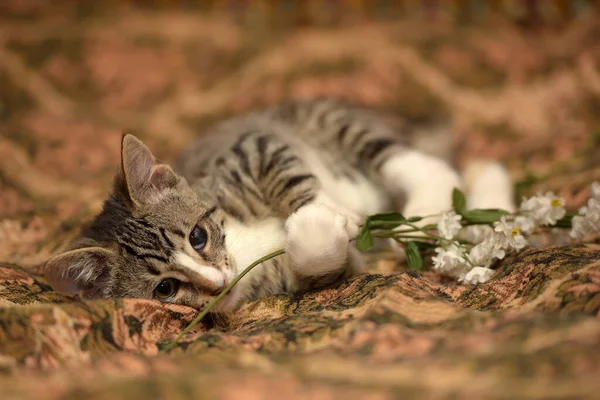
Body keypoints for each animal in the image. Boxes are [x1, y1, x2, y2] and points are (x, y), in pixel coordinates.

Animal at [44, 98, 512, 310]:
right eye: (166, 289)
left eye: (197, 237)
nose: (216, 282)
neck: (240, 241)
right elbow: (320, 258)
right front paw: (317, 228)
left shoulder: (253, 148)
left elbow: (288, 172)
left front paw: (328, 213)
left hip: (331, 122)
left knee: (415, 161)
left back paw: (435, 201)